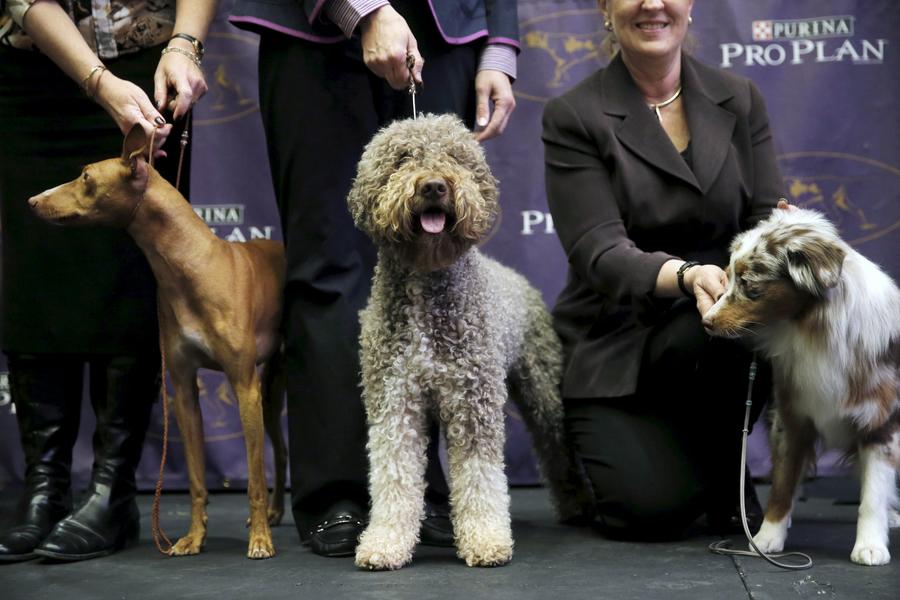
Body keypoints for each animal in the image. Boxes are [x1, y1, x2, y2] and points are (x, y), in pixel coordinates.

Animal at [28, 124, 286, 560]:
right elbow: (197, 479)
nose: (32, 201)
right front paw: (194, 538)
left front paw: (261, 541)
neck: (189, 267)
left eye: (85, 176)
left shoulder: (243, 386)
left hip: (268, 389)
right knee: (282, 451)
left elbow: (253, 476)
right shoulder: (182, 389)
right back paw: (276, 512)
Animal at [348, 115, 596, 568]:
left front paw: (485, 541)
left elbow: (480, 477)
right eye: (403, 157)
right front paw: (385, 542)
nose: (433, 186)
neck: (427, 284)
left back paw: (577, 506)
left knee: (557, 449)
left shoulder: (472, 401)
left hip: (543, 389)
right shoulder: (395, 401)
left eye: (455, 156)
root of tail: (515, 277)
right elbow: (394, 475)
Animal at [704, 209, 900, 564]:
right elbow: (782, 484)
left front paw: (870, 545)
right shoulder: (790, 416)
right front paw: (766, 538)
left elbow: (873, 494)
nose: (707, 321)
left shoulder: (881, 422)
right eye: (726, 276)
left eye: (749, 284)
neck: (815, 330)